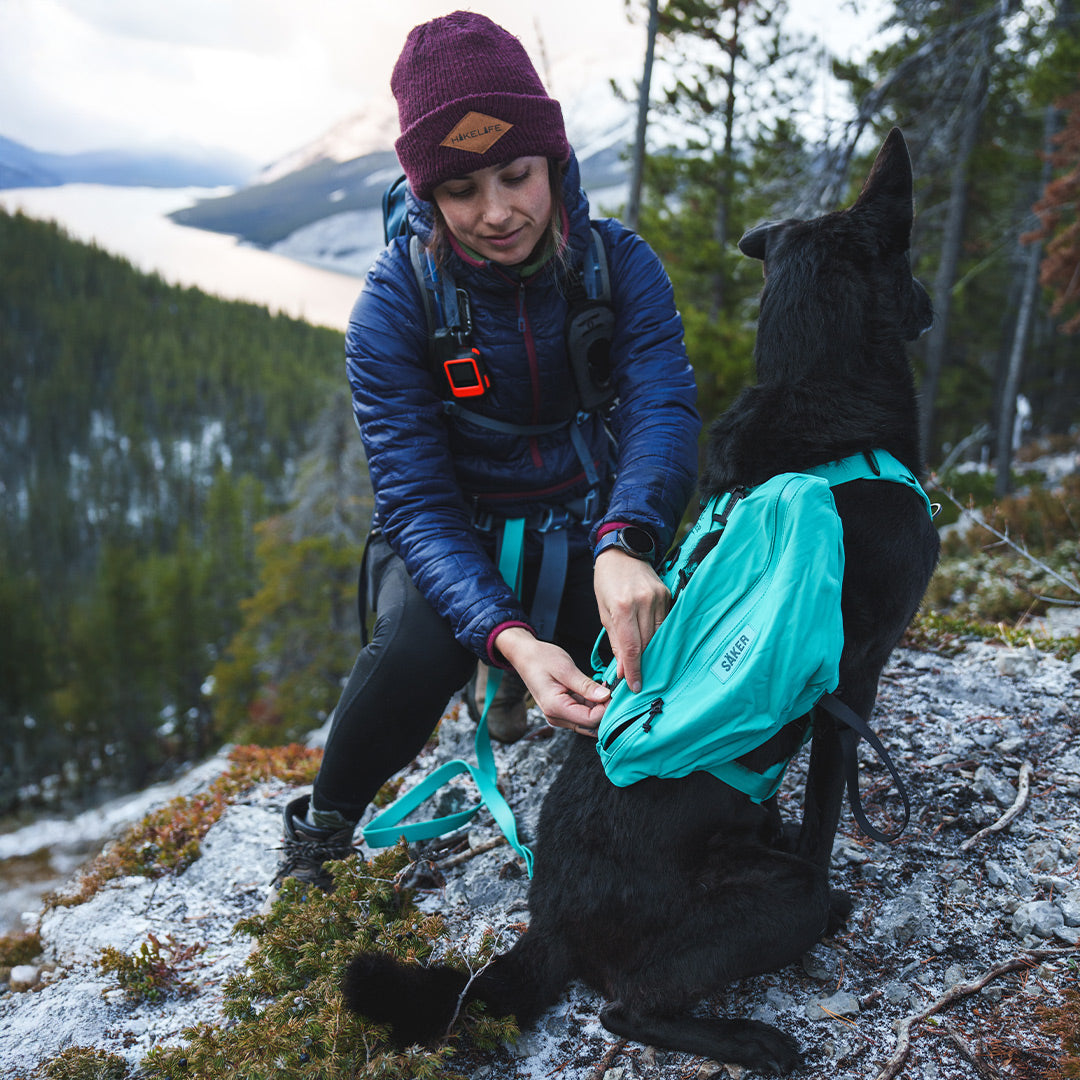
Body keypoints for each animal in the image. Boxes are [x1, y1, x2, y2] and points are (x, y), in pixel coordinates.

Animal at [343, 126, 937, 1071]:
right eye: (910, 261)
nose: (929, 306)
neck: (822, 398)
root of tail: (547, 925)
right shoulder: (854, 684)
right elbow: (824, 816)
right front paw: (835, 872)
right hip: (760, 908)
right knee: (633, 1004)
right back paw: (755, 1032)